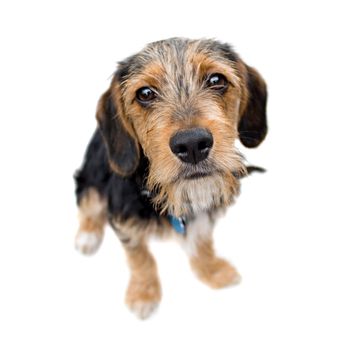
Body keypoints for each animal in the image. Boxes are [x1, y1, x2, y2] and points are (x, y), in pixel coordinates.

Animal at [73, 37, 266, 318]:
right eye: (145, 94)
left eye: (216, 79)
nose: (193, 144)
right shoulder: (122, 219)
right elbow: (140, 257)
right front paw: (143, 293)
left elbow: (202, 241)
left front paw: (212, 270)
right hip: (90, 177)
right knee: (88, 205)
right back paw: (87, 237)